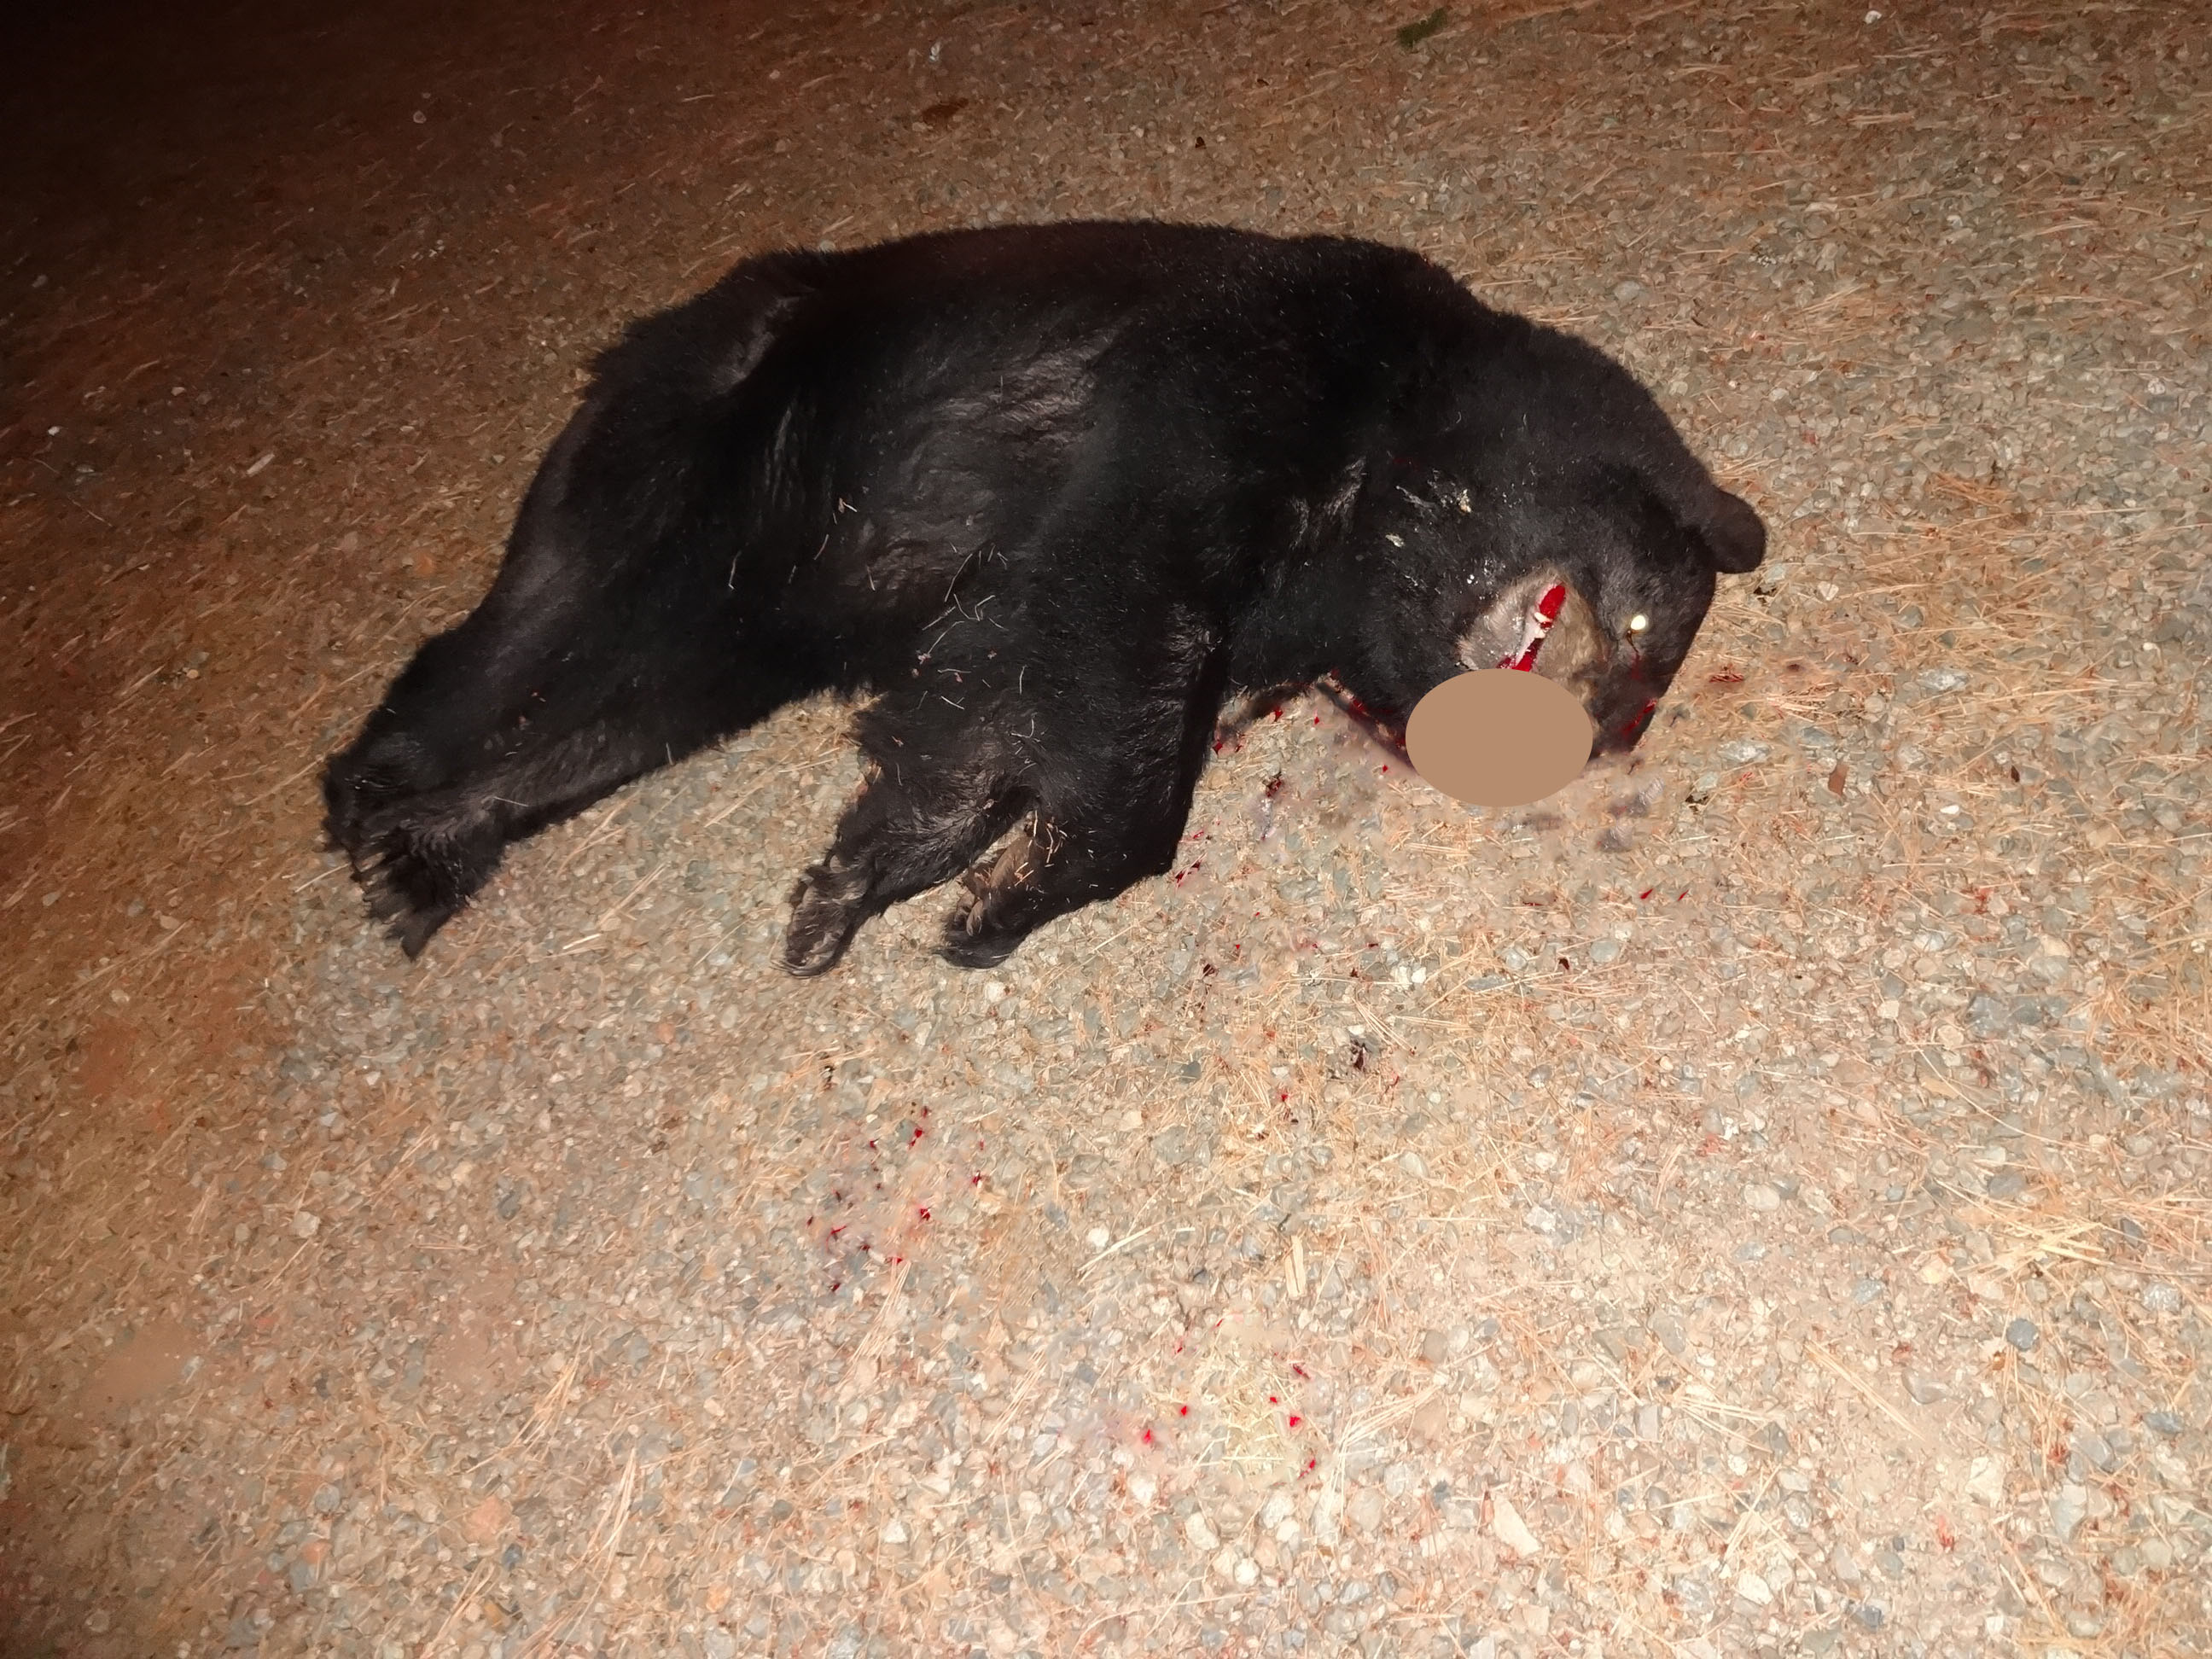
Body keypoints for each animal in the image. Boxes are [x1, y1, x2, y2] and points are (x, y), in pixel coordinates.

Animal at [322, 220, 1764, 974]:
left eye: (1649, 695)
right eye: (1642, 629)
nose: (1599, 737)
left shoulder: (1220, 623)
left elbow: (999, 697)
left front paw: (884, 870)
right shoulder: (1224, 400)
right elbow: (1123, 683)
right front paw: (990, 895)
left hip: (744, 616)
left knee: (612, 713)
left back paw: (431, 844)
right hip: (677, 471)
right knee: (525, 643)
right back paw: (384, 801)